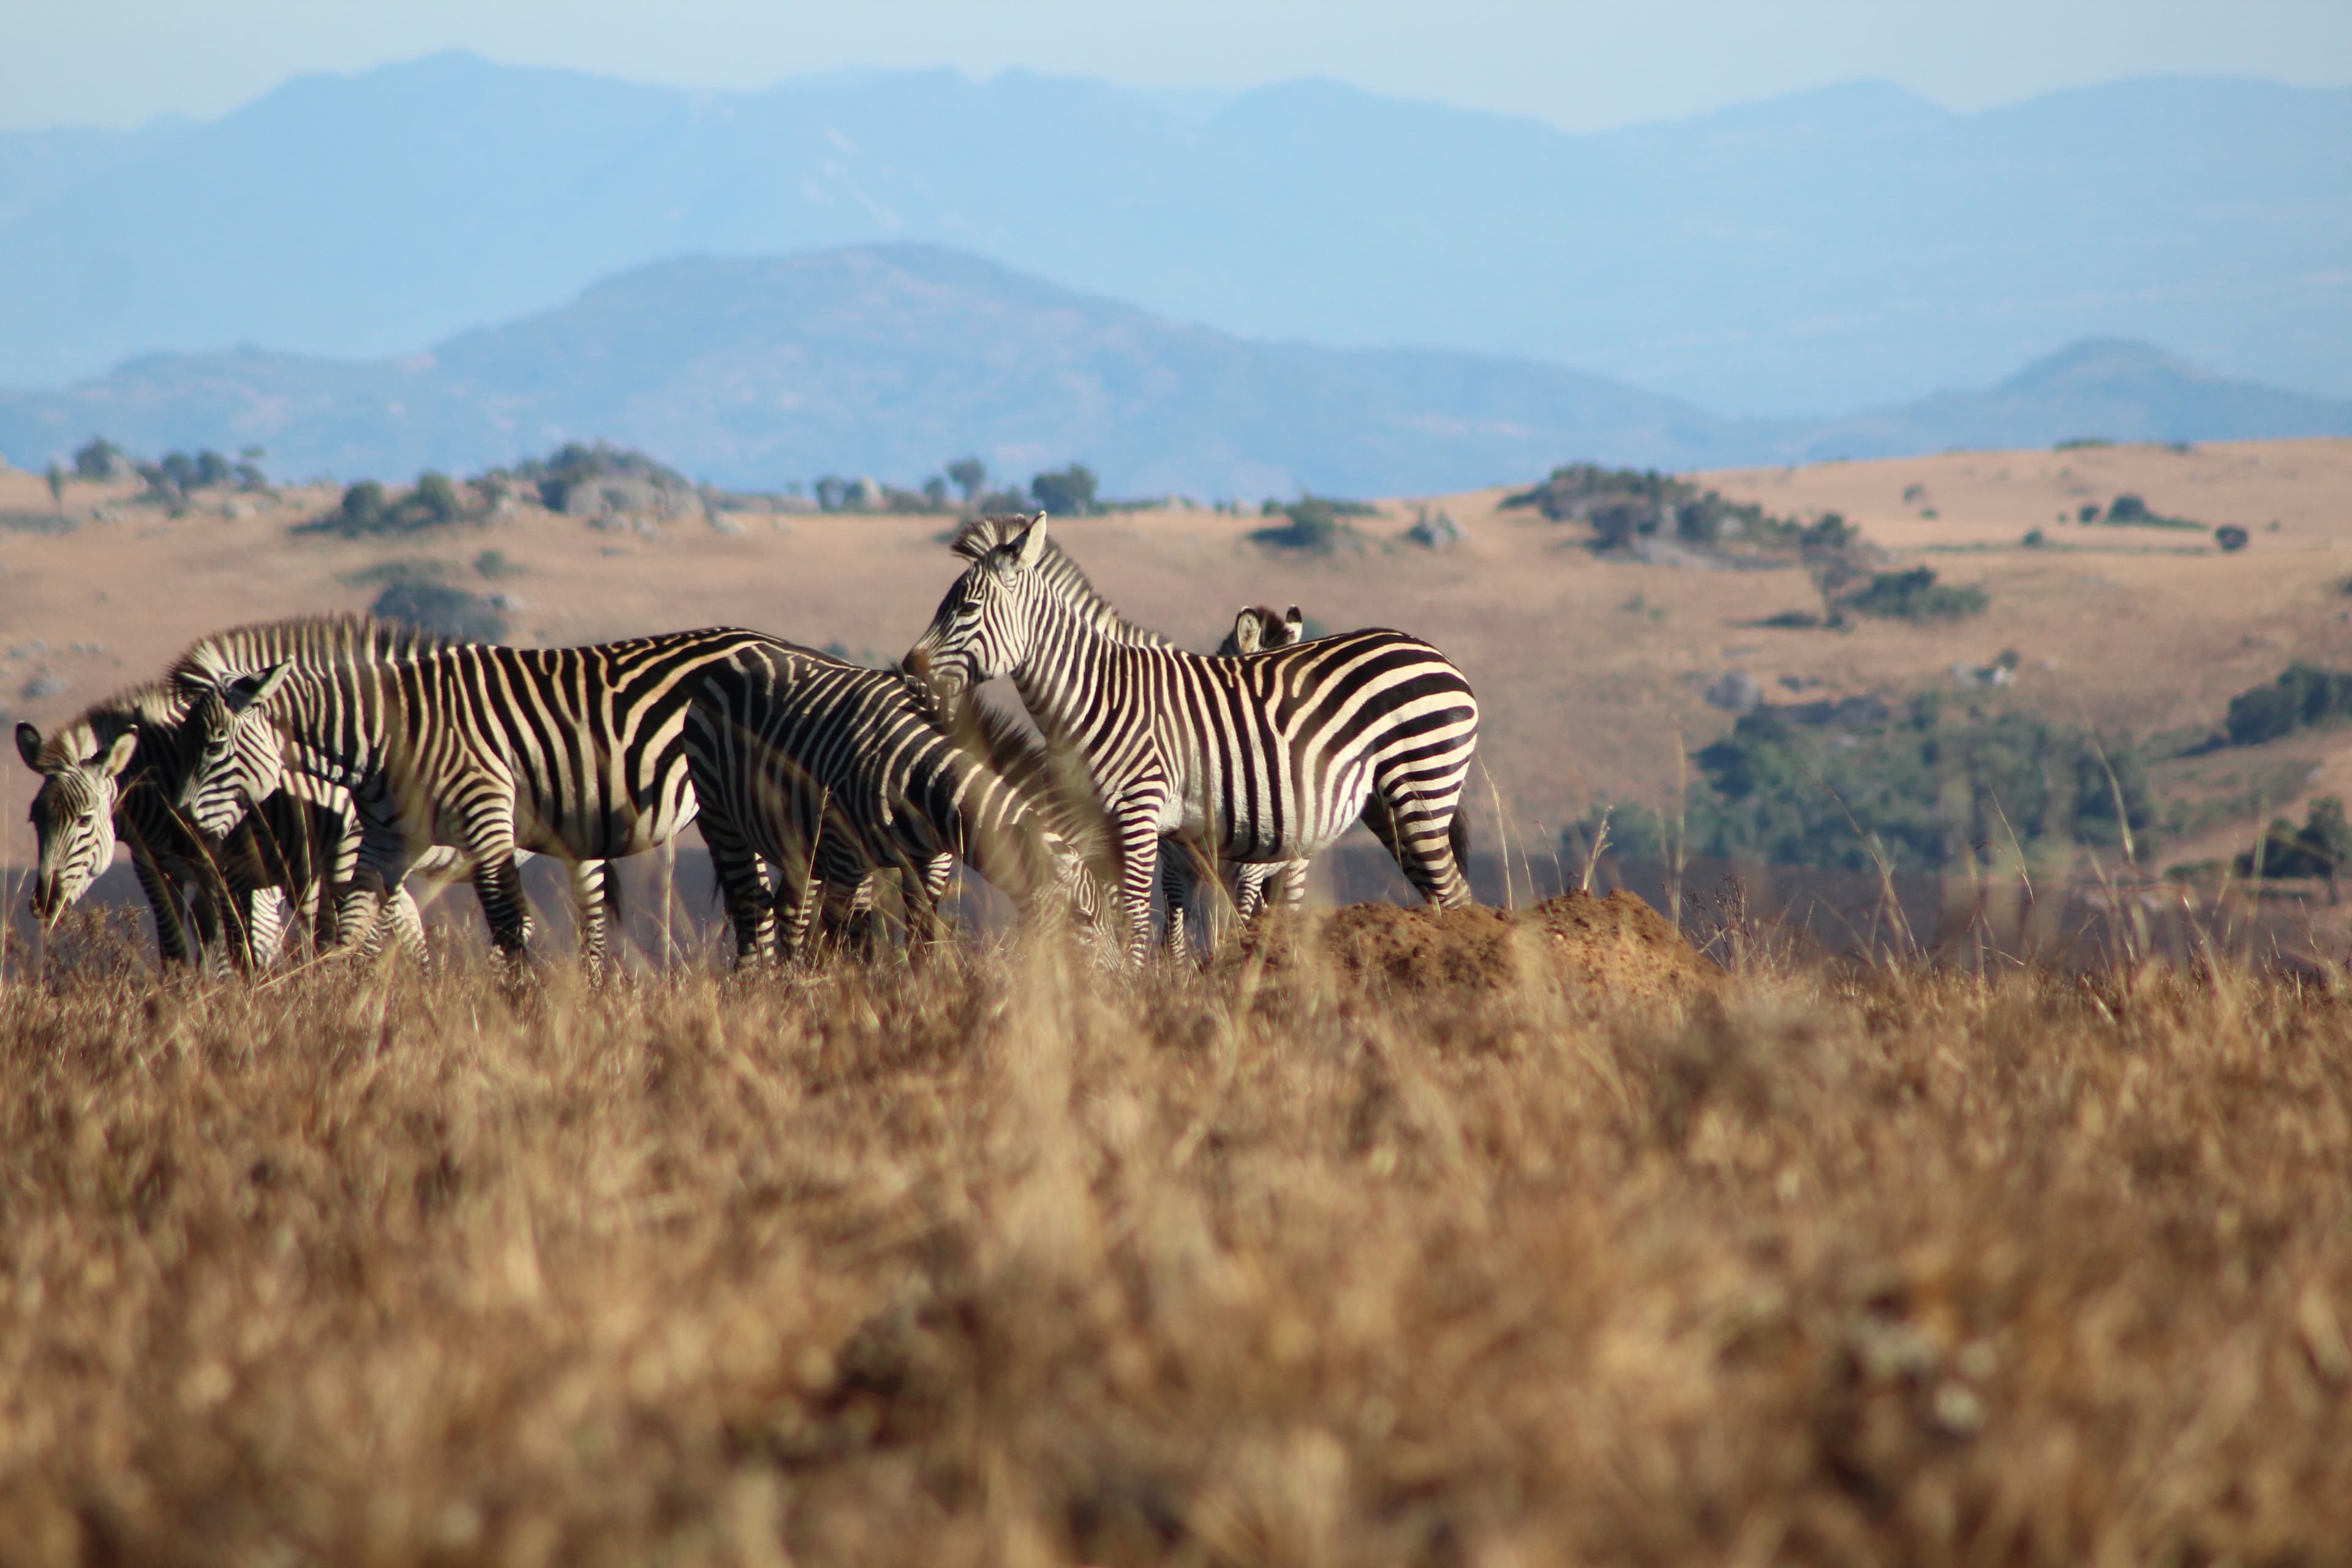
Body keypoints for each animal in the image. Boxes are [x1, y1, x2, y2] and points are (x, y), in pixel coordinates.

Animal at [172, 626, 781, 965]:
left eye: (216, 745)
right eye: (183, 745)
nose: (182, 828)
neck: (386, 735)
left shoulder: (484, 817)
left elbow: (509, 927)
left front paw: (521, 1019)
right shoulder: (385, 842)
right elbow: (353, 932)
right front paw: (339, 1016)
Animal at [684, 637, 1103, 963]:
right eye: (1084, 918)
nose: (1110, 989)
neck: (923, 781)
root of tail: (736, 656)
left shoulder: (931, 863)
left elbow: (921, 941)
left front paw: (920, 998)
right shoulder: (846, 858)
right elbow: (848, 945)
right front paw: (845, 999)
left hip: (800, 841)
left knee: (791, 907)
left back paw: (789, 980)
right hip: (721, 817)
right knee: (752, 907)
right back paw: (760, 985)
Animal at [903, 513, 1479, 965]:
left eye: (966, 609)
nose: (910, 669)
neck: (1097, 695)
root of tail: (1439, 657)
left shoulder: (1139, 815)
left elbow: (1137, 917)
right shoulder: (1119, 830)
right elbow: (1119, 911)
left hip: (1420, 790)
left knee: (1454, 895)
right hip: (1389, 806)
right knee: (1442, 894)